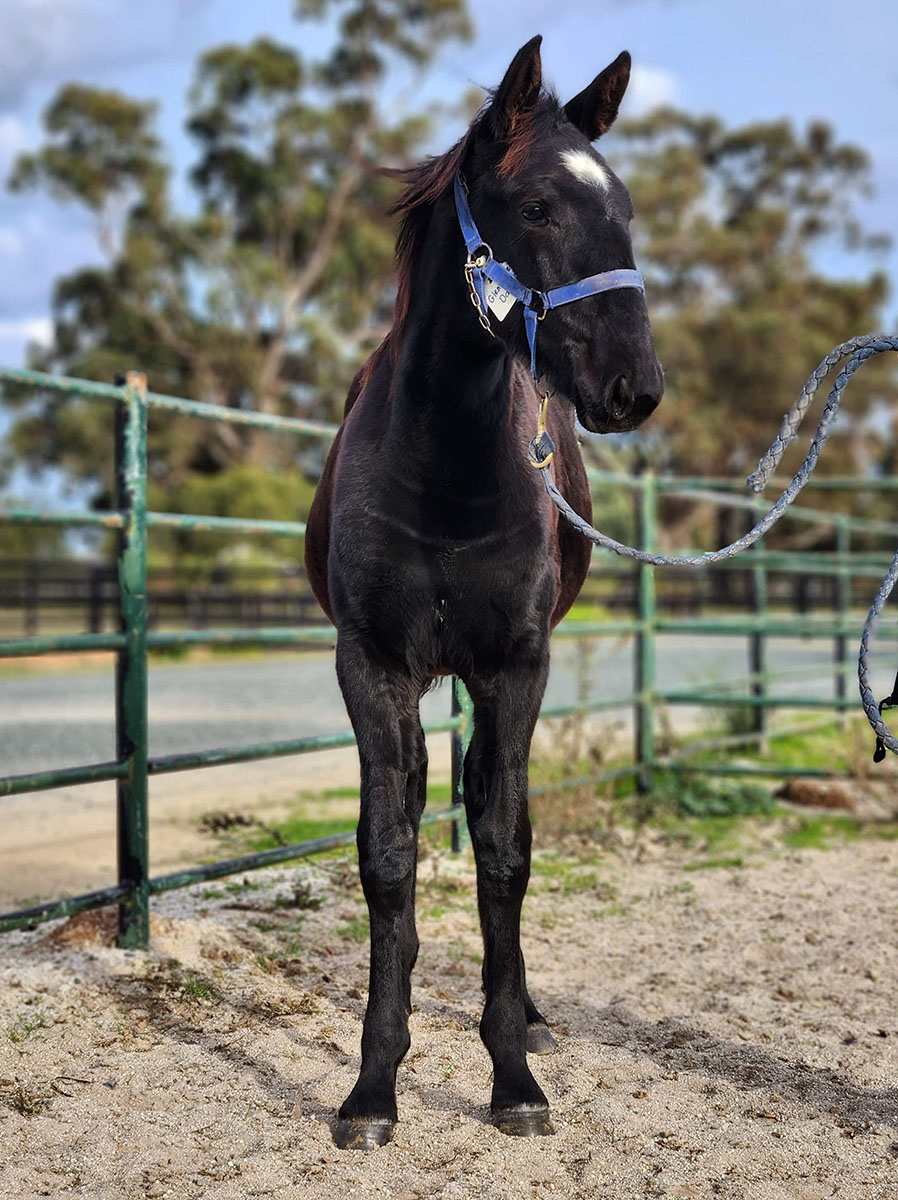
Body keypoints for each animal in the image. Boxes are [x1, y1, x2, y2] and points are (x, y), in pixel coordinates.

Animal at [304, 35, 664, 1149]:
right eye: (539, 206)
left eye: (623, 206)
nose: (637, 388)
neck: (443, 471)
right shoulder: (372, 667)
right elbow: (387, 854)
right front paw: (374, 1086)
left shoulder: (516, 666)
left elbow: (505, 849)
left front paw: (512, 1075)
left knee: (486, 808)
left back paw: (530, 1015)